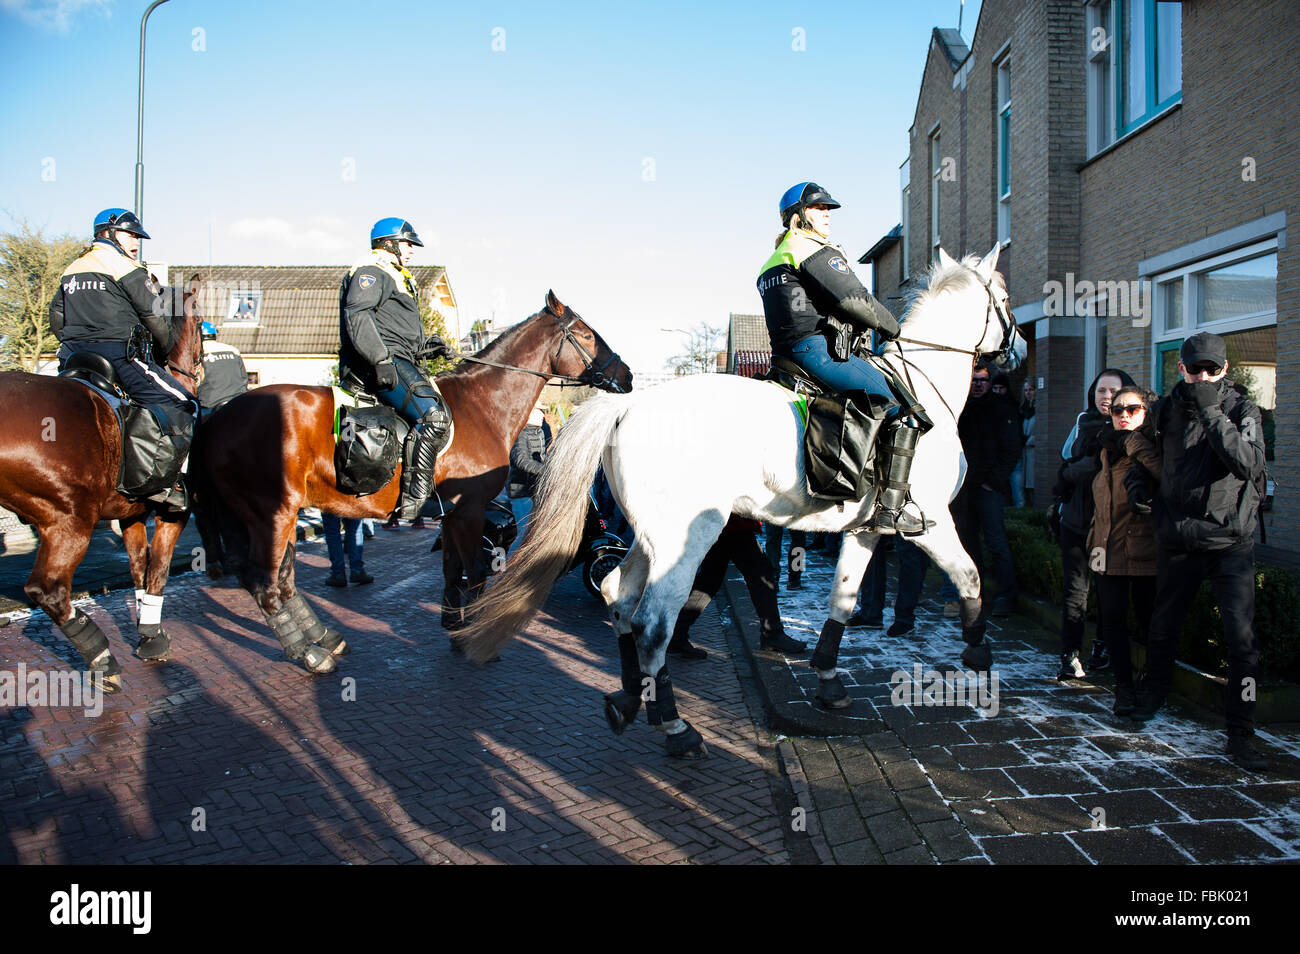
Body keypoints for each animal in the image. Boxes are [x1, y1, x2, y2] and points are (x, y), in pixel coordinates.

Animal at [0, 276, 202, 696]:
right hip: (69, 520)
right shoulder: (175, 511)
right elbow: (158, 568)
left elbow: (138, 567)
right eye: (203, 327)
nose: (199, 370)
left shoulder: (130, 513)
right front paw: (152, 636)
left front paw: (146, 630)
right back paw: (103, 659)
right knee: (48, 591)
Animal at [192, 291, 634, 670]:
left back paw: (324, 637)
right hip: (272, 514)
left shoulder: (452, 515)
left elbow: (452, 571)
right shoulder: (470, 511)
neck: (482, 404)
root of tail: (219, 416)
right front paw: (473, 636)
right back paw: (309, 654)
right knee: (266, 585)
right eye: (586, 334)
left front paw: (454, 626)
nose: (628, 375)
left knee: (283, 581)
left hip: (271, 516)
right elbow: (475, 573)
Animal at [457, 248, 1024, 764]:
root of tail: (629, 404)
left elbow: (843, 599)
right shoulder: (930, 523)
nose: (1017, 351)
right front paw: (979, 651)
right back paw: (676, 727)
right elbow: (970, 575)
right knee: (654, 623)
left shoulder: (865, 531)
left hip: (652, 539)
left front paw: (828, 679)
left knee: (619, 593)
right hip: (685, 543)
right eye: (1003, 295)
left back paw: (630, 701)